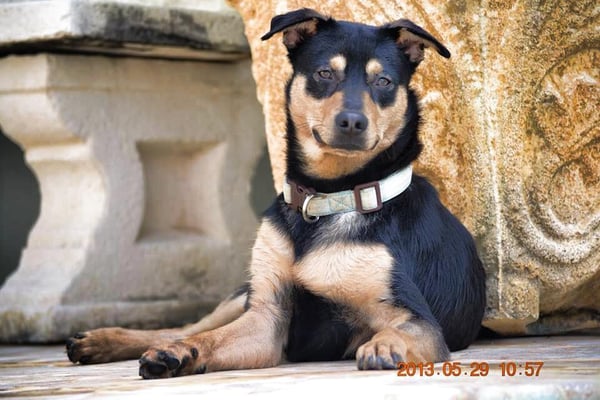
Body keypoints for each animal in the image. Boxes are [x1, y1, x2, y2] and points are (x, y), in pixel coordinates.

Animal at [67, 7, 488, 380]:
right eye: (324, 73)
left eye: (383, 81)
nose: (353, 122)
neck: (329, 198)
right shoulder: (265, 315)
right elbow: (208, 339)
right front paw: (179, 354)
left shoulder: (416, 319)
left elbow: (397, 330)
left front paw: (385, 345)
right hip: (242, 295)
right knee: (183, 328)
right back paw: (104, 341)